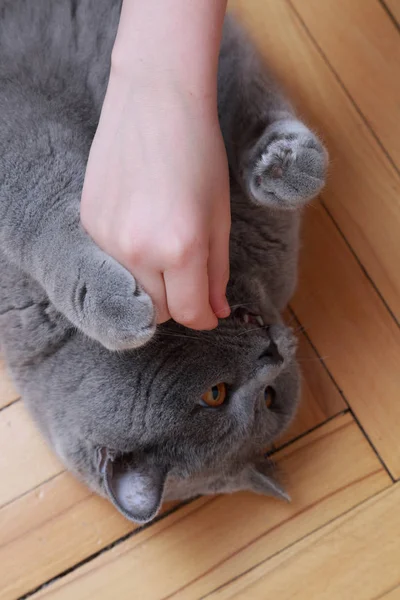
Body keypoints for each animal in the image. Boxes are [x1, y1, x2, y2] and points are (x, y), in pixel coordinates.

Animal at [0, 2, 326, 524]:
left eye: (269, 398)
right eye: (216, 394)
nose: (272, 352)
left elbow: (245, 100)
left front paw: (284, 165)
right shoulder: (27, 132)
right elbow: (39, 209)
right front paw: (111, 306)